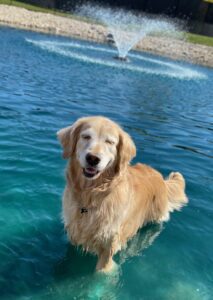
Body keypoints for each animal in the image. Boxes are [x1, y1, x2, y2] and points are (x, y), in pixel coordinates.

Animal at [57, 116, 188, 274]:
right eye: (86, 136)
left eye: (110, 142)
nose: (93, 158)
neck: (91, 196)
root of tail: (160, 178)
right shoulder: (73, 235)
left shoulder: (108, 248)